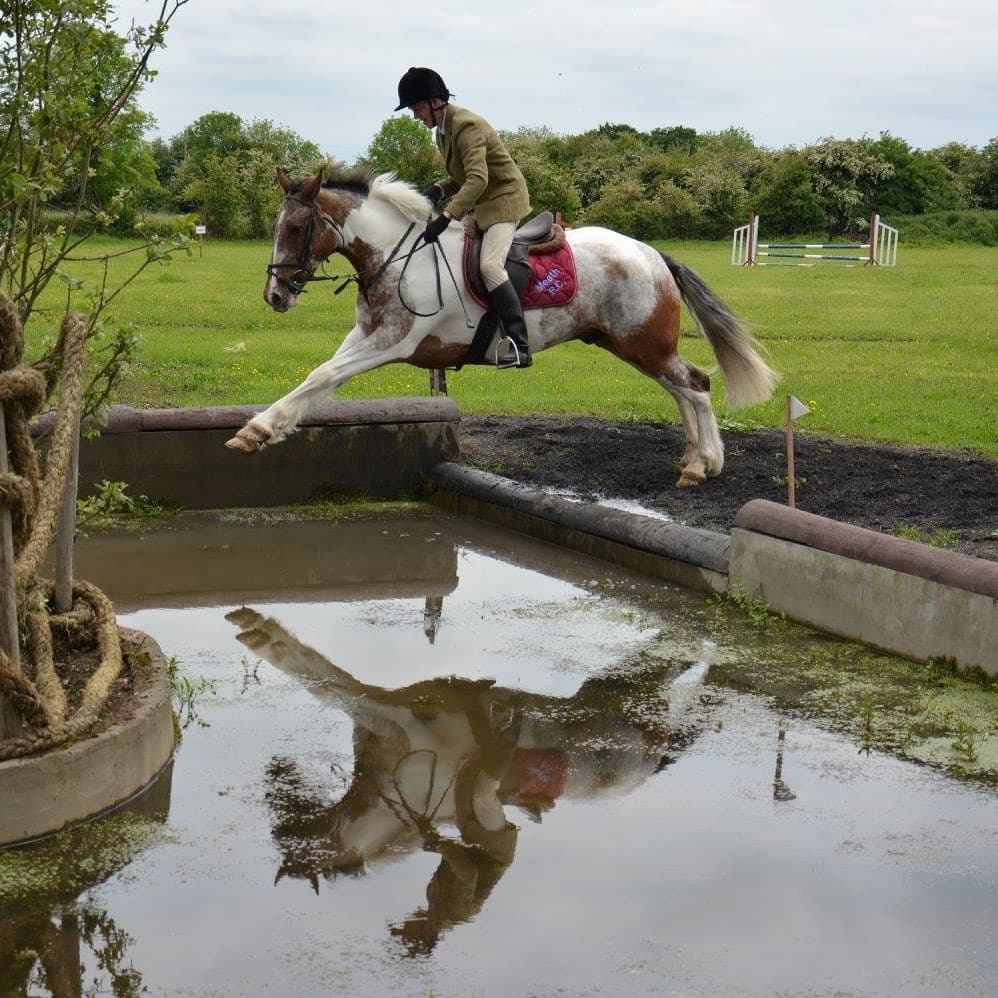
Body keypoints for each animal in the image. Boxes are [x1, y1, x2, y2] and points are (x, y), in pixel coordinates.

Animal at [234, 169, 780, 488]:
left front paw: (257, 429)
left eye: (296, 229)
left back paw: (703, 464)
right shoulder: (366, 336)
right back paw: (693, 457)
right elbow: (319, 376)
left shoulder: (393, 342)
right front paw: (270, 427)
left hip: (642, 342)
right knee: (681, 390)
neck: (397, 255)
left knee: (696, 385)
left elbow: (324, 376)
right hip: (631, 345)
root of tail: (651, 254)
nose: (275, 296)